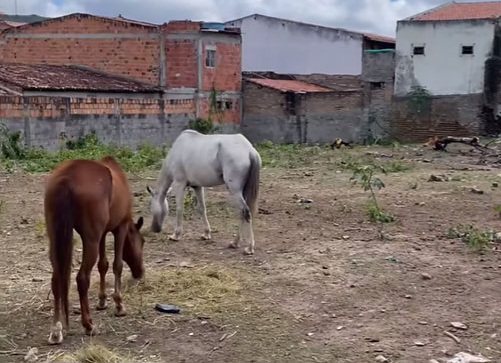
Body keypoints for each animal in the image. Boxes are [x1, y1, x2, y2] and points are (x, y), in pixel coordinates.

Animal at [43, 156, 146, 344]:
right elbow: (117, 265)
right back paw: (88, 325)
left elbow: (103, 265)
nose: (139, 272)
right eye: (142, 241)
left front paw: (102, 301)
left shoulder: (102, 234)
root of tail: (66, 178)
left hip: (56, 239)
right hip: (90, 240)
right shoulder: (120, 228)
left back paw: (56, 330)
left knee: (56, 280)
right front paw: (119, 305)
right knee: (82, 278)